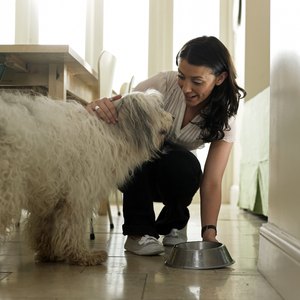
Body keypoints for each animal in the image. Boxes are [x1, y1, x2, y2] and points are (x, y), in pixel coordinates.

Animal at [0, 89, 172, 264]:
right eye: (159, 109)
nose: (172, 117)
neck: (111, 132)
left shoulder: (52, 194)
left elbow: (44, 227)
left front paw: (49, 253)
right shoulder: (78, 195)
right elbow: (73, 227)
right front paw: (82, 255)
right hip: (7, 189)